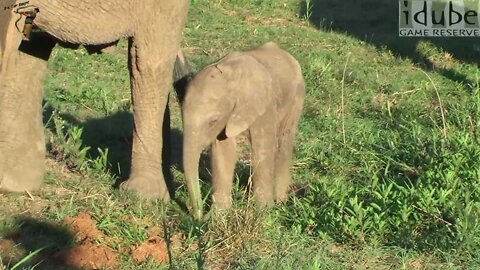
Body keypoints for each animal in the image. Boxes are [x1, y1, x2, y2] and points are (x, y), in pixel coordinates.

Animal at [182, 42, 306, 219]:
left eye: (213, 121)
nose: (198, 216)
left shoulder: (264, 104)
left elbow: (262, 148)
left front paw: (264, 212)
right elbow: (223, 151)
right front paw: (219, 216)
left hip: (297, 96)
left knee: (285, 140)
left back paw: (282, 201)